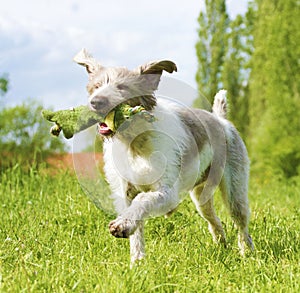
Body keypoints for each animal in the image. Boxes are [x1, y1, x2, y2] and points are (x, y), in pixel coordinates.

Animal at [74, 48, 254, 262]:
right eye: (96, 86)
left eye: (123, 87)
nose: (96, 102)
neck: (134, 141)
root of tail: (221, 120)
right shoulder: (125, 192)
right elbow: (136, 228)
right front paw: (136, 262)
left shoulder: (167, 192)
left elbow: (142, 200)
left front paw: (122, 225)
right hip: (201, 195)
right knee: (214, 220)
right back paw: (221, 246)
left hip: (235, 190)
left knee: (241, 223)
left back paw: (247, 253)